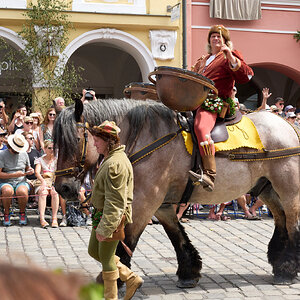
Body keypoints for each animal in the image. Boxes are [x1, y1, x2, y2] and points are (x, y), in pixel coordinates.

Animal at [54, 97, 300, 288]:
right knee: (281, 218)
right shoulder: (161, 204)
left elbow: (129, 239)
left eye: (75, 140)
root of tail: (287, 125)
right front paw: (189, 271)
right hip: (266, 187)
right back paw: (280, 262)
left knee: (291, 222)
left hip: (288, 188)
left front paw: (116, 278)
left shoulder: (145, 202)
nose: (61, 187)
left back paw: (288, 268)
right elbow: (176, 234)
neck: (143, 138)